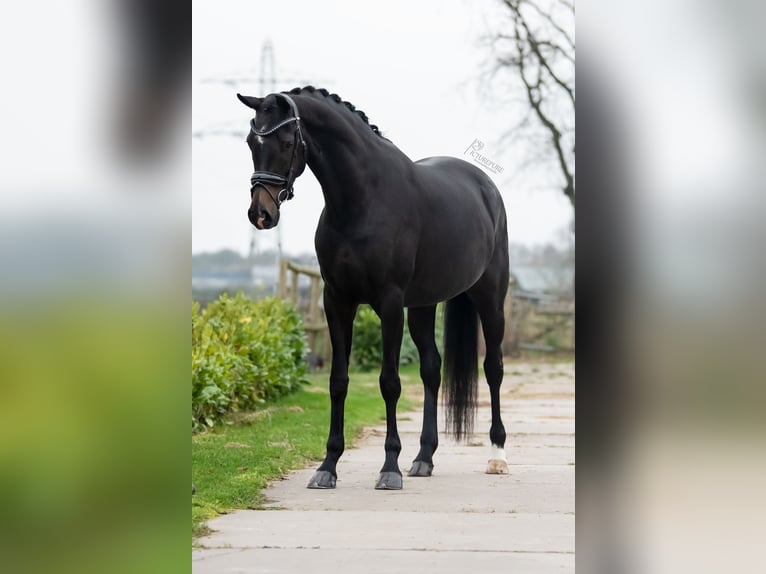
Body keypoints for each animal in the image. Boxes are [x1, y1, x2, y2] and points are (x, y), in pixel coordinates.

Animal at [237, 85, 512, 490]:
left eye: (286, 143)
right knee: (432, 369)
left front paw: (389, 468)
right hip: (423, 306)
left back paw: (497, 455)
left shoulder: (390, 303)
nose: (261, 215)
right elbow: (338, 381)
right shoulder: (337, 301)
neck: (361, 201)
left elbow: (389, 382)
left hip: (489, 299)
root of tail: (486, 187)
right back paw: (423, 458)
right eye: (250, 141)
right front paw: (328, 466)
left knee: (493, 368)